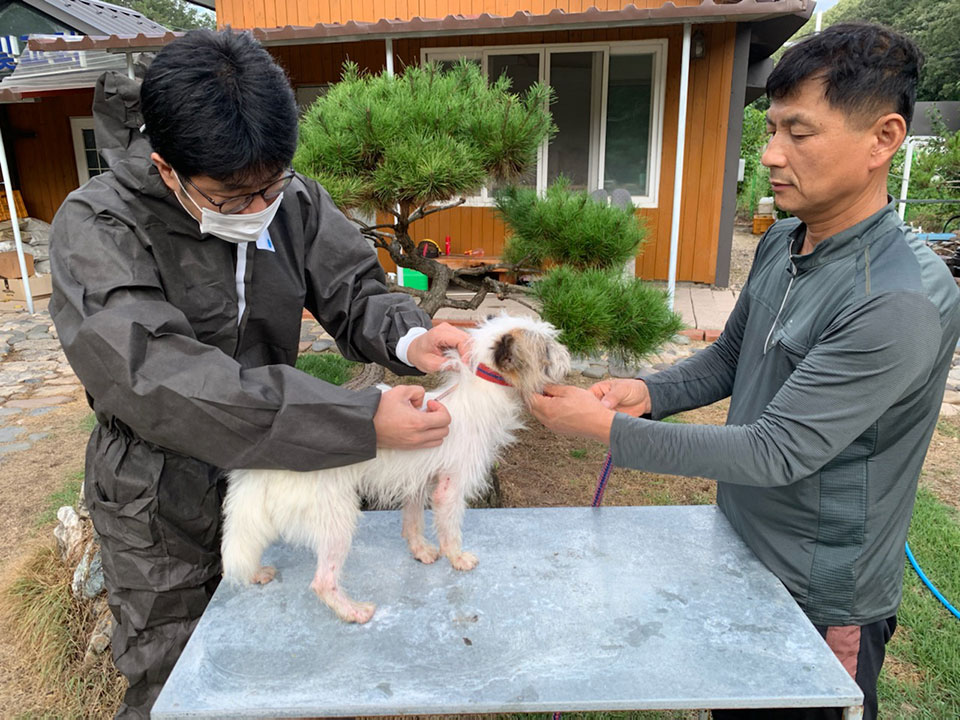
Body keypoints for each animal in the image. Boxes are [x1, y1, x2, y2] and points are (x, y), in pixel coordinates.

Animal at [223, 316, 568, 624]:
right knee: (322, 581)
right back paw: (352, 611)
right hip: (336, 519)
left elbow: (413, 522)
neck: (478, 393)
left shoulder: (417, 480)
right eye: (548, 349)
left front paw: (420, 551)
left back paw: (256, 573)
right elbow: (450, 529)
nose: (568, 355)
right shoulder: (449, 488)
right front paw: (457, 558)